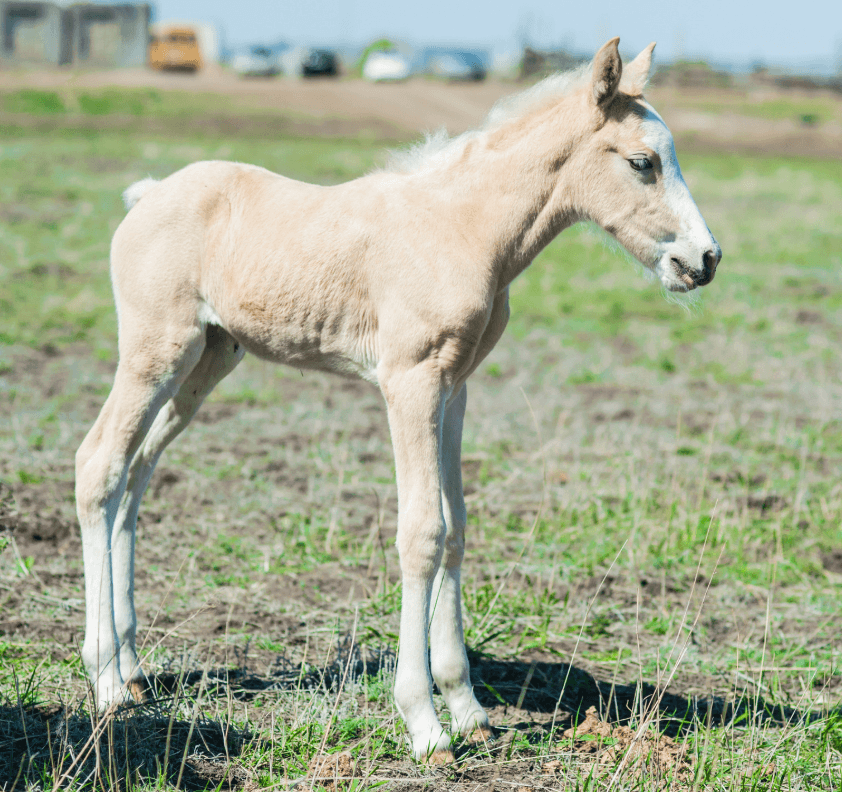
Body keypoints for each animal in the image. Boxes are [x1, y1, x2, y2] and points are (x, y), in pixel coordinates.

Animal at [75, 38, 721, 762]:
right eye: (642, 162)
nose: (704, 259)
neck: (461, 227)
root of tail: (148, 194)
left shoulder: (455, 387)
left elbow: (457, 527)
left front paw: (467, 707)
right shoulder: (410, 382)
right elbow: (422, 533)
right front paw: (425, 723)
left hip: (206, 362)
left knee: (136, 475)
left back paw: (132, 670)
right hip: (154, 352)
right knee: (98, 466)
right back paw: (105, 680)